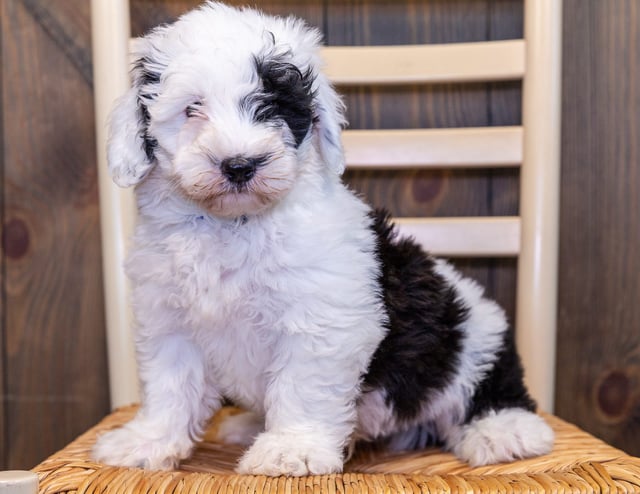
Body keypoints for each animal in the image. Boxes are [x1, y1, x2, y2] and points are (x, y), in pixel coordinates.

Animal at [91, 0, 556, 478]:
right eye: (192, 109)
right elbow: (170, 387)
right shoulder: (170, 321)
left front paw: (290, 449)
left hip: (465, 338)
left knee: (486, 385)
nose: (239, 165)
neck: (234, 224)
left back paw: (505, 432)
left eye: (274, 106)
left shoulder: (321, 319)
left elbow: (302, 386)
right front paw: (146, 442)